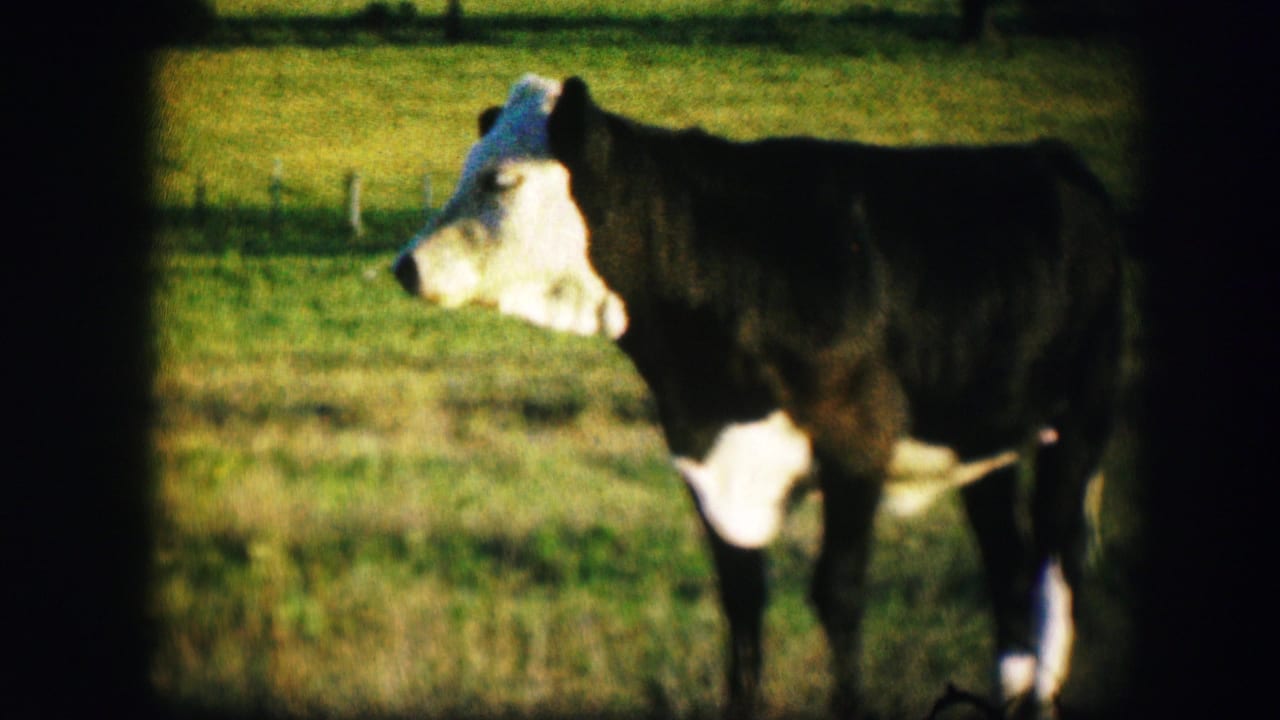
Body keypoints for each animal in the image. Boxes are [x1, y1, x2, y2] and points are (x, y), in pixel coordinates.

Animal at [393, 74, 1123, 720]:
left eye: (501, 180)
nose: (406, 264)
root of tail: (1049, 156)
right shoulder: (709, 457)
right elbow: (741, 599)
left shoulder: (857, 439)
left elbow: (839, 594)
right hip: (981, 440)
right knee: (1007, 571)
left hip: (1081, 421)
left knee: (1055, 570)